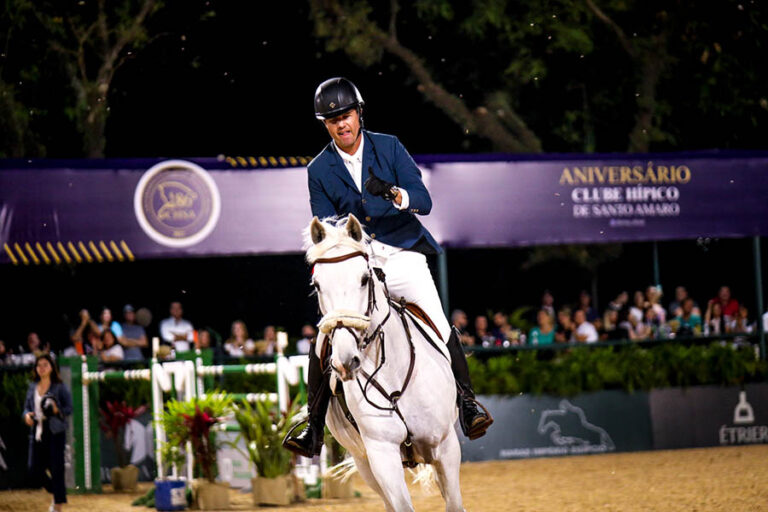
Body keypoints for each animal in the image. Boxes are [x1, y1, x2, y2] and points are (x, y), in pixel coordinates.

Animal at [304, 215, 462, 512]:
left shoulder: (446, 449)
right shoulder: (382, 455)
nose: (345, 361)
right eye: (317, 285)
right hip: (364, 463)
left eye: (364, 279)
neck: (393, 375)